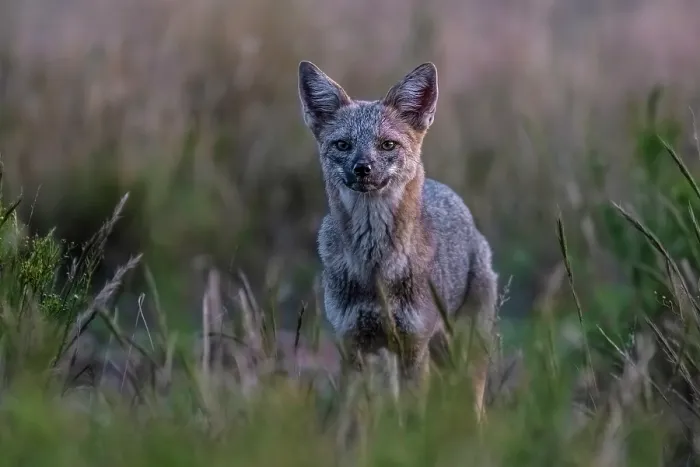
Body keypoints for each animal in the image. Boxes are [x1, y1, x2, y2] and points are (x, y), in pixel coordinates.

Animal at [297, 60, 498, 417]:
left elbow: (413, 415)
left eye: (387, 145)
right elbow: (351, 419)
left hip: (461, 349)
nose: (362, 168)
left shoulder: (413, 346)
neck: (375, 266)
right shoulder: (352, 344)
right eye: (343, 145)